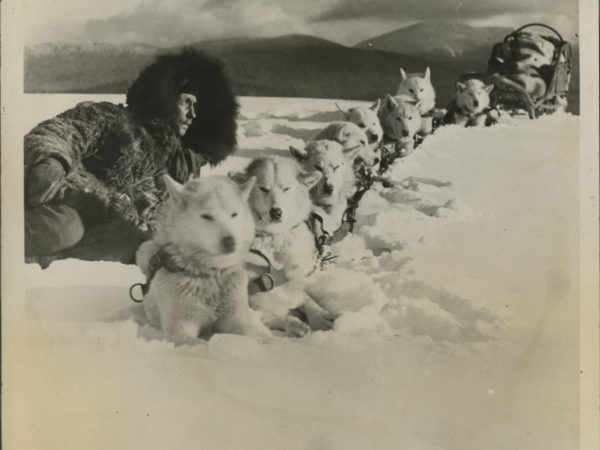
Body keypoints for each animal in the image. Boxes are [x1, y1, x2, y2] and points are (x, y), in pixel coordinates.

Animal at [137, 174, 268, 346]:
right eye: (207, 216)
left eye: (234, 214)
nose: (230, 241)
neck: (211, 275)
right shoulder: (180, 329)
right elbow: (203, 344)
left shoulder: (235, 318)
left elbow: (250, 335)